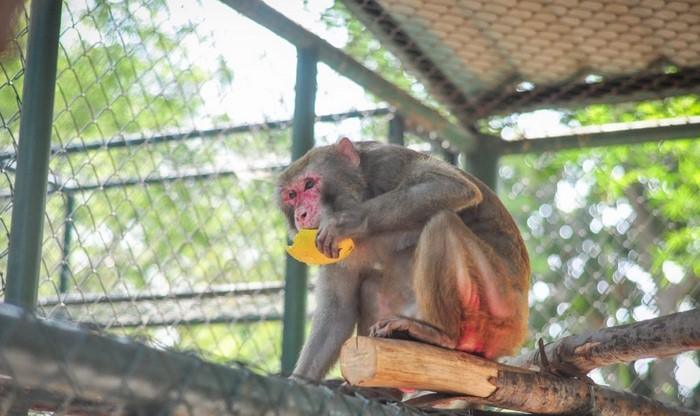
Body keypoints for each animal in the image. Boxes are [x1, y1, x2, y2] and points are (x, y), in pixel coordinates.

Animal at [276, 137, 528, 380]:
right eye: (291, 196)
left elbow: (453, 186)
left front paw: (345, 221)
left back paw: (440, 335)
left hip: (499, 301)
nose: (301, 215)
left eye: (309, 184)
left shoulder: (388, 163)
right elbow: (338, 311)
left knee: (442, 223)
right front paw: (298, 383)